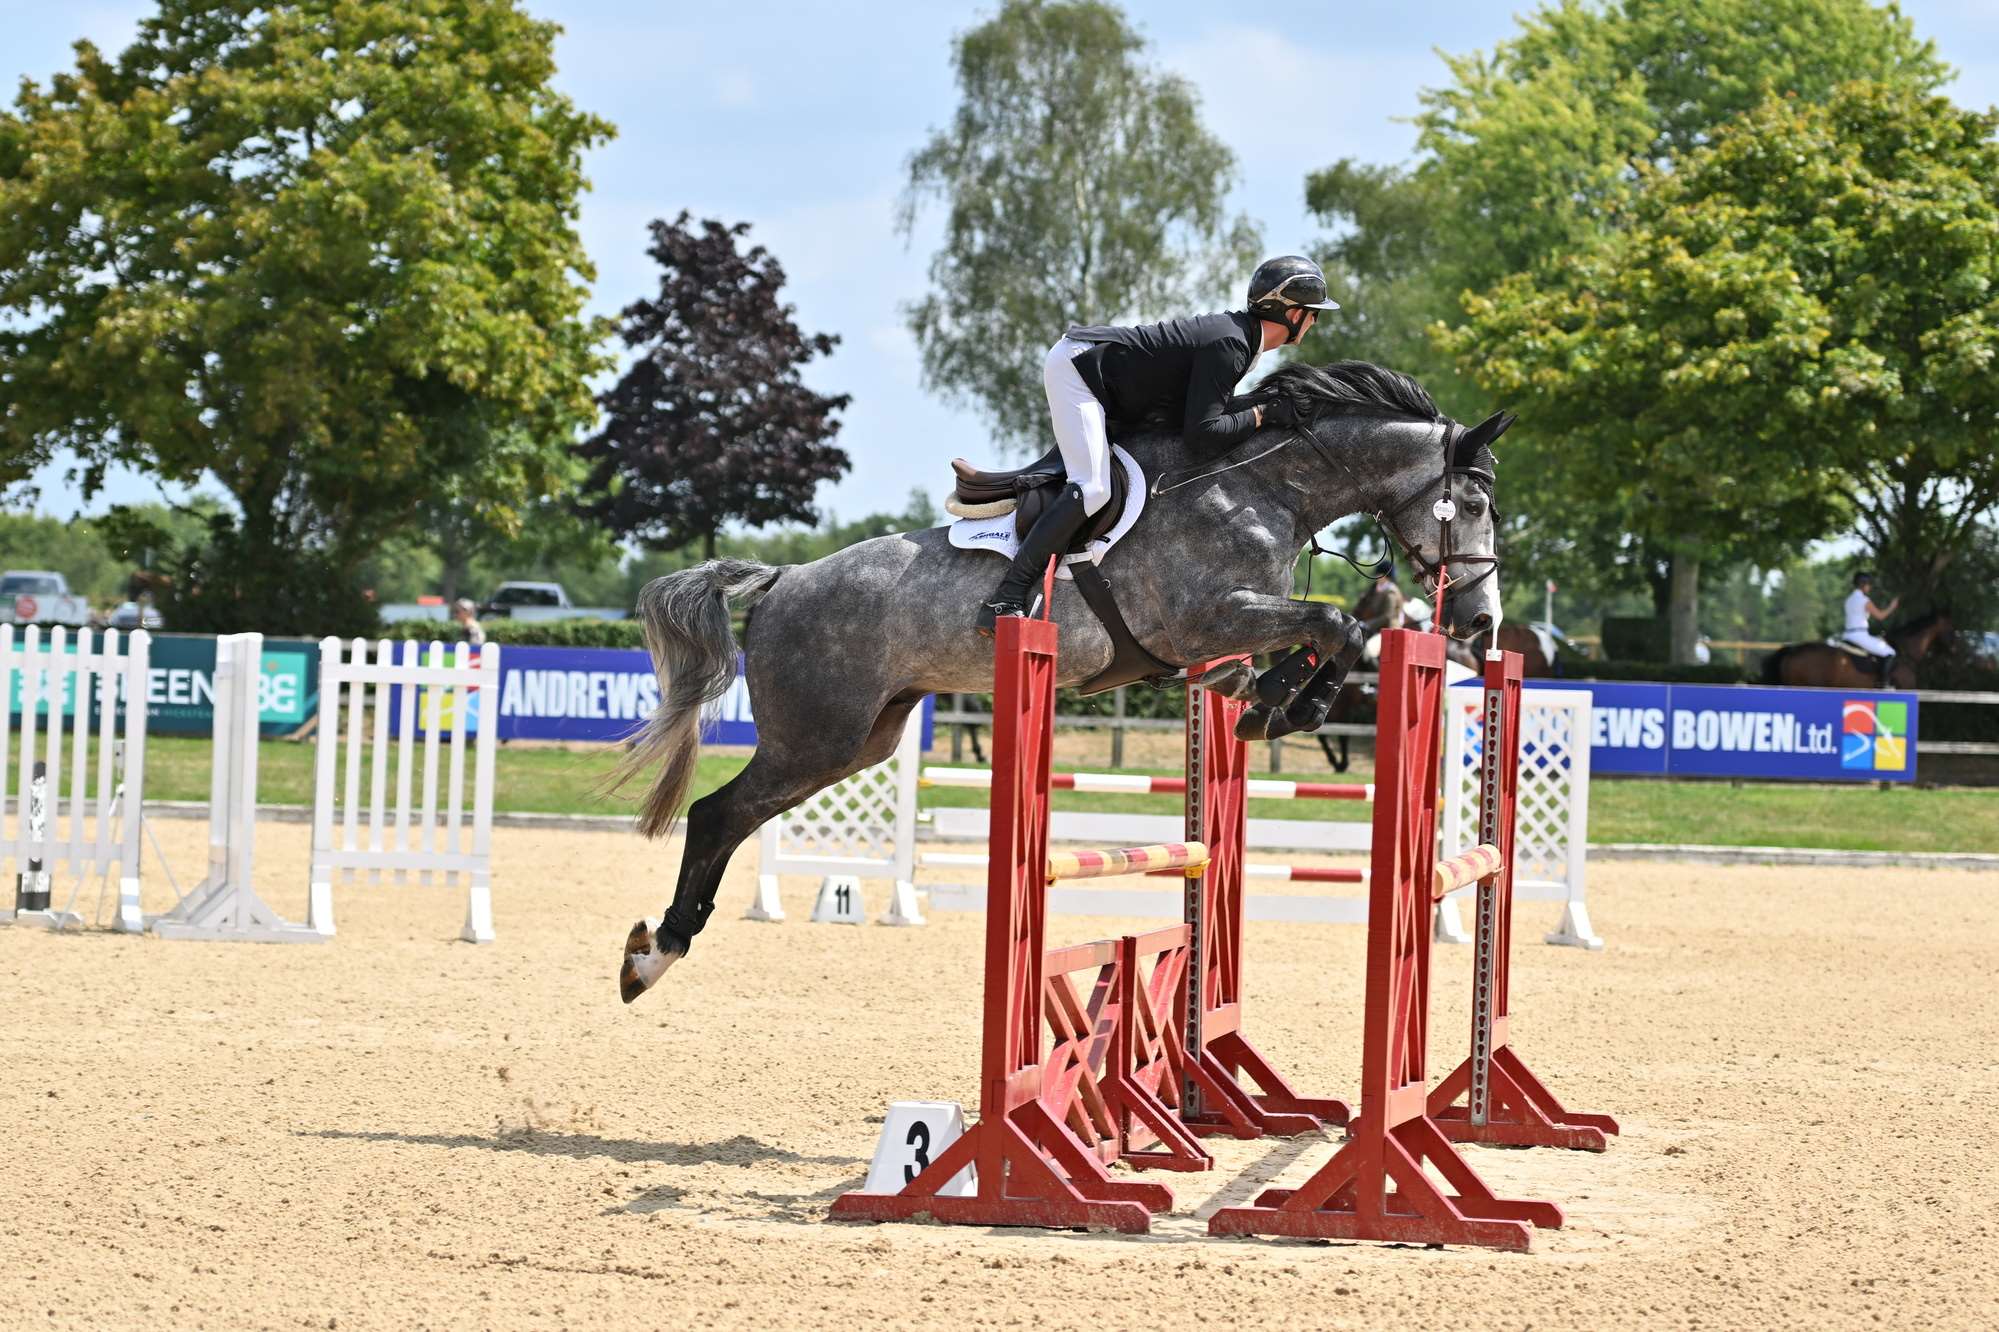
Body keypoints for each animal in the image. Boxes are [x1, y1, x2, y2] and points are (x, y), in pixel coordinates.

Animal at [613, 360, 1511, 1002]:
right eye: (1470, 504)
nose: (1481, 624)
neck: (1261, 489)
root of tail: (783, 579)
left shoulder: (1218, 643)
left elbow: (1317, 635)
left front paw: (1269, 702)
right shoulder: (1207, 619)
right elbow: (1334, 623)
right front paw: (1290, 705)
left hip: (858, 742)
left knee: (736, 817)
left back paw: (655, 951)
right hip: (815, 737)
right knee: (715, 813)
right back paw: (652, 956)